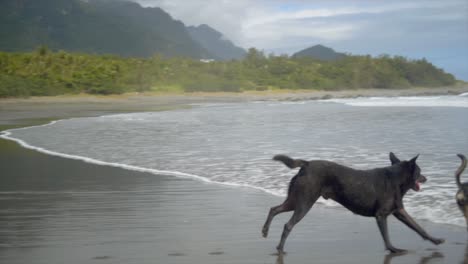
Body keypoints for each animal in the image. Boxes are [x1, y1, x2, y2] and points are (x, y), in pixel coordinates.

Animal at [262, 153, 444, 254]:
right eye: (419, 171)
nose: (426, 178)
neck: (396, 179)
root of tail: (306, 164)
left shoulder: (399, 211)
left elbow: (418, 227)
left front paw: (435, 240)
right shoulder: (381, 216)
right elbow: (386, 236)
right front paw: (393, 249)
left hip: (295, 199)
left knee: (274, 209)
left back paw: (265, 231)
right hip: (304, 202)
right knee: (288, 225)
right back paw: (280, 248)